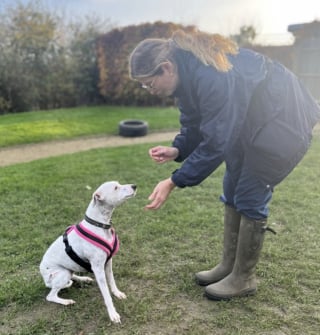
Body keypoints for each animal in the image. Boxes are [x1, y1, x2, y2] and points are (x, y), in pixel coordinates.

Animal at [39, 182, 136, 324]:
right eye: (115, 188)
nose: (134, 186)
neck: (99, 225)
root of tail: (43, 276)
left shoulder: (108, 263)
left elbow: (112, 281)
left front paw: (117, 293)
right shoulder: (98, 269)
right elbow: (106, 295)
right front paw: (113, 314)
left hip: (67, 271)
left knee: (72, 275)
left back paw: (84, 279)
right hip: (62, 274)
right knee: (50, 296)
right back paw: (66, 301)